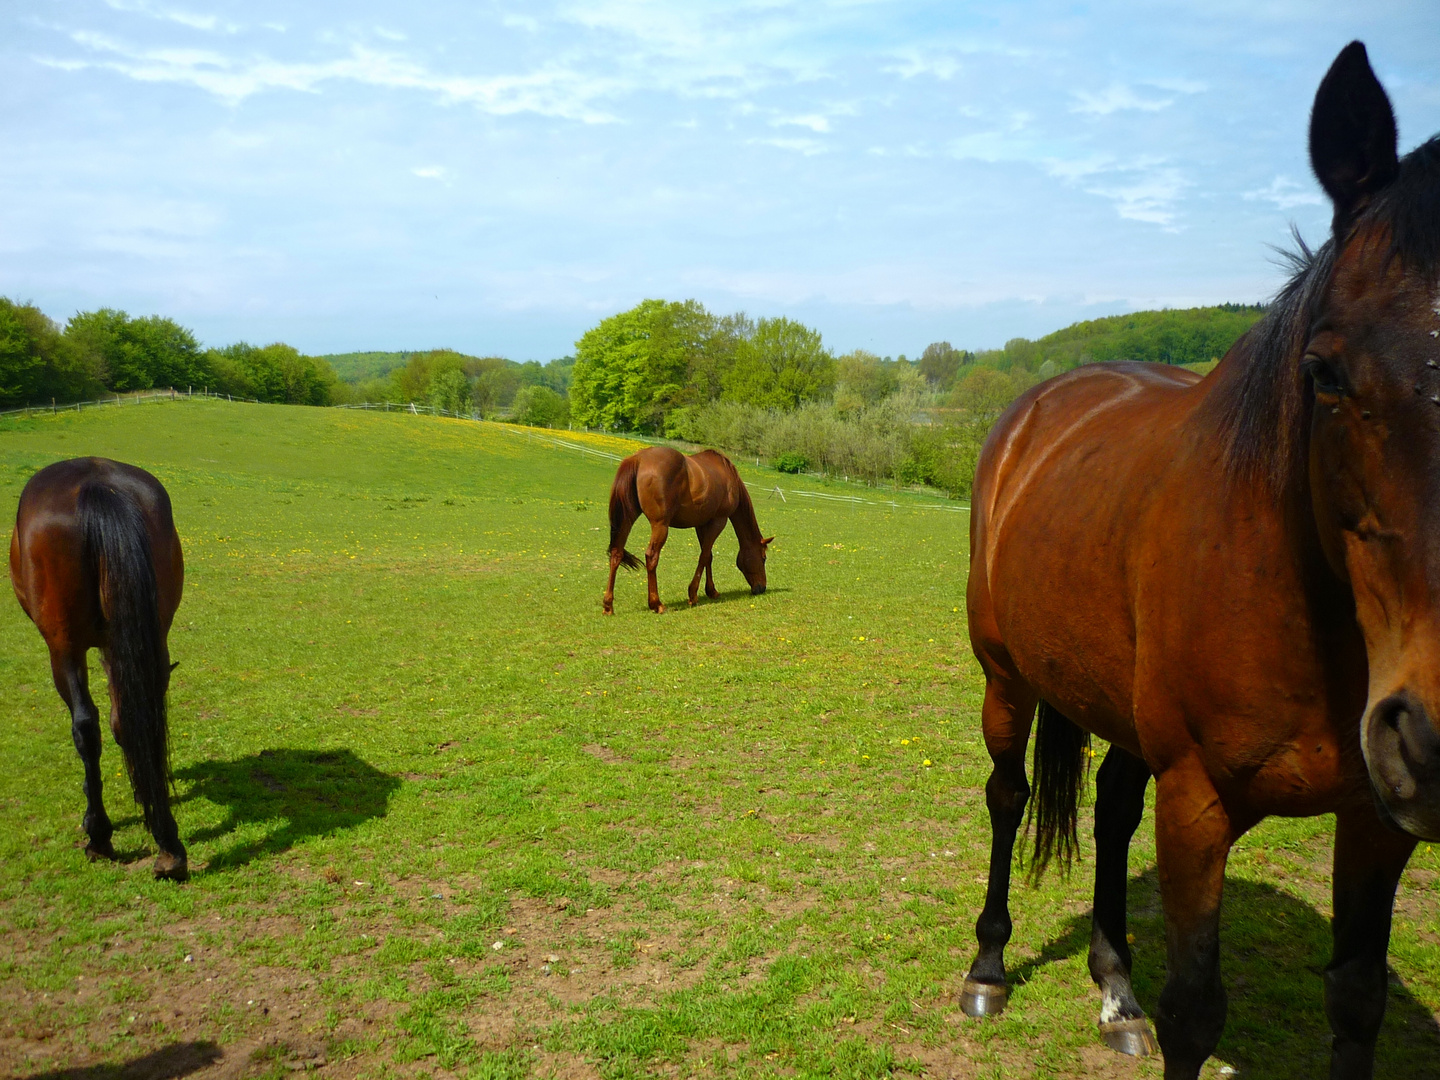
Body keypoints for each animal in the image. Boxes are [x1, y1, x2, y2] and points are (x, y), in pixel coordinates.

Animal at [9, 457, 188, 881]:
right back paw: (168, 843)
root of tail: (98, 486)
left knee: (86, 727)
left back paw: (100, 834)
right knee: (134, 716)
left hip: (63, 649)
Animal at [601, 449, 771, 616]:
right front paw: (693, 594)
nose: (761, 588)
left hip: (626, 520)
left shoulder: (702, 524)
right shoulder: (718, 521)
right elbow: (703, 557)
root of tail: (638, 459)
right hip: (660, 525)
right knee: (651, 556)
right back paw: (657, 604)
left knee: (616, 553)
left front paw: (711, 591)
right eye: (763, 558)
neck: (728, 476)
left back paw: (608, 605)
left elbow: (708, 556)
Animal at [961, 40, 1440, 1077]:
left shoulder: (1376, 824)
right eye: (1324, 372)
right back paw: (987, 966)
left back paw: (1114, 985)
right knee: (1010, 794)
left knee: (1107, 808)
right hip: (1006, 677)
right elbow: (1195, 1010)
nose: (1434, 736)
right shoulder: (1198, 806)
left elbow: (1356, 1001)